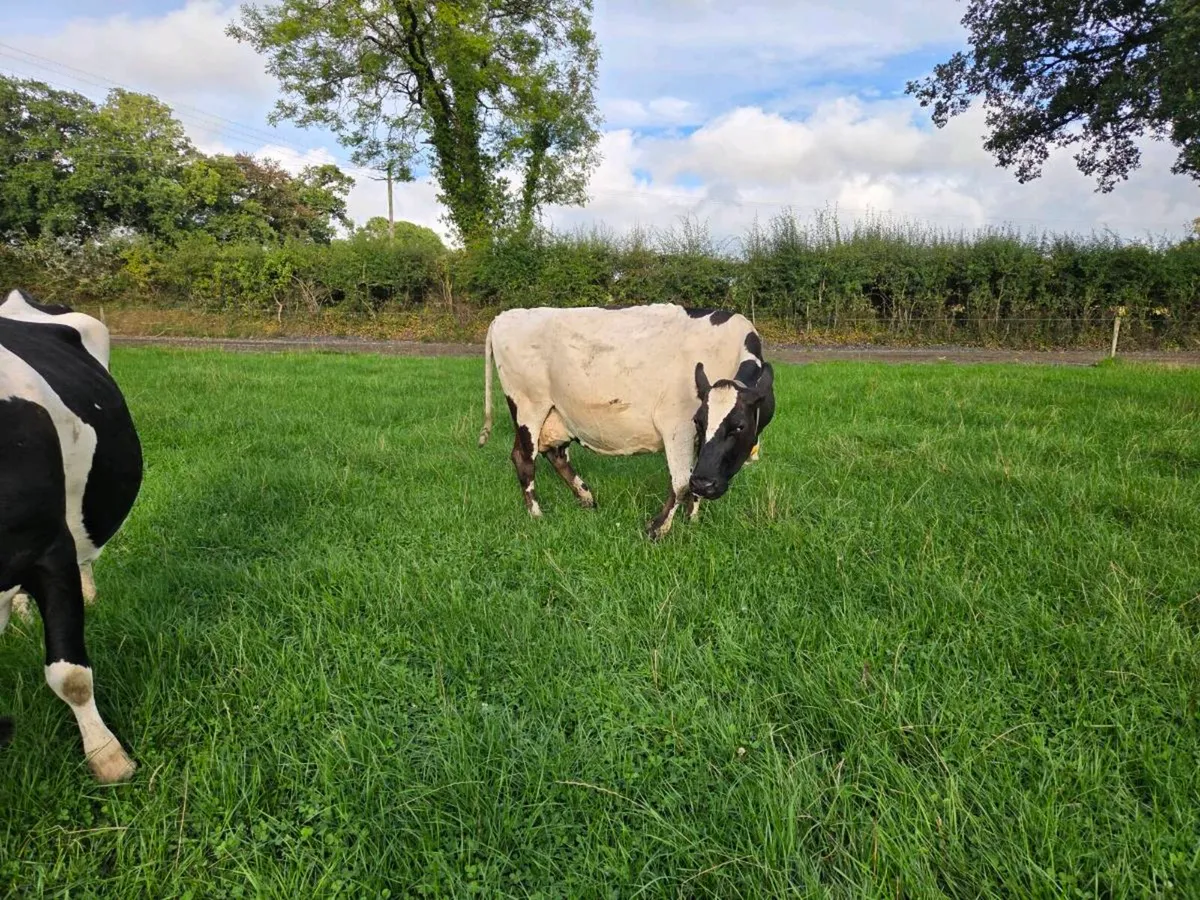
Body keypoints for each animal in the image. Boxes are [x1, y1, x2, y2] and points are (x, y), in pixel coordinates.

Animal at [477, 304, 775, 539]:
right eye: (699, 422)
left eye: (739, 426)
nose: (706, 484)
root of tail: (505, 315)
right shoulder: (678, 423)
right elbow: (680, 482)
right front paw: (658, 528)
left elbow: (693, 477)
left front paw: (693, 520)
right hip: (528, 406)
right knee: (524, 458)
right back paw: (537, 513)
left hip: (557, 414)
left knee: (555, 453)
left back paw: (586, 498)